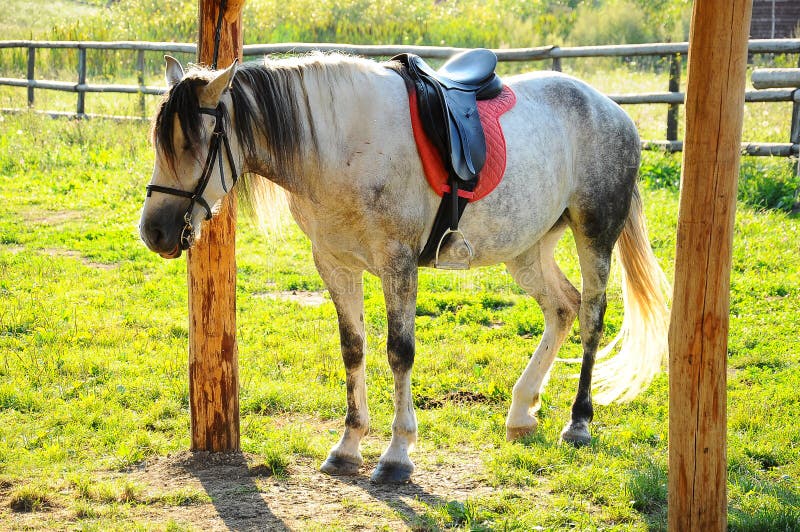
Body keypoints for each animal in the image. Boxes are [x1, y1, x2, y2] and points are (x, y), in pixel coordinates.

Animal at [139, 52, 670, 484]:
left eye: (195, 143)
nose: (154, 232)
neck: (341, 146)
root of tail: (613, 111)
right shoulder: (334, 264)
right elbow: (353, 349)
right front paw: (348, 447)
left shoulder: (397, 264)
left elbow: (399, 353)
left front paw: (396, 455)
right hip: (527, 248)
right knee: (562, 308)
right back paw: (521, 410)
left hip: (594, 233)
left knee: (592, 315)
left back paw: (579, 421)